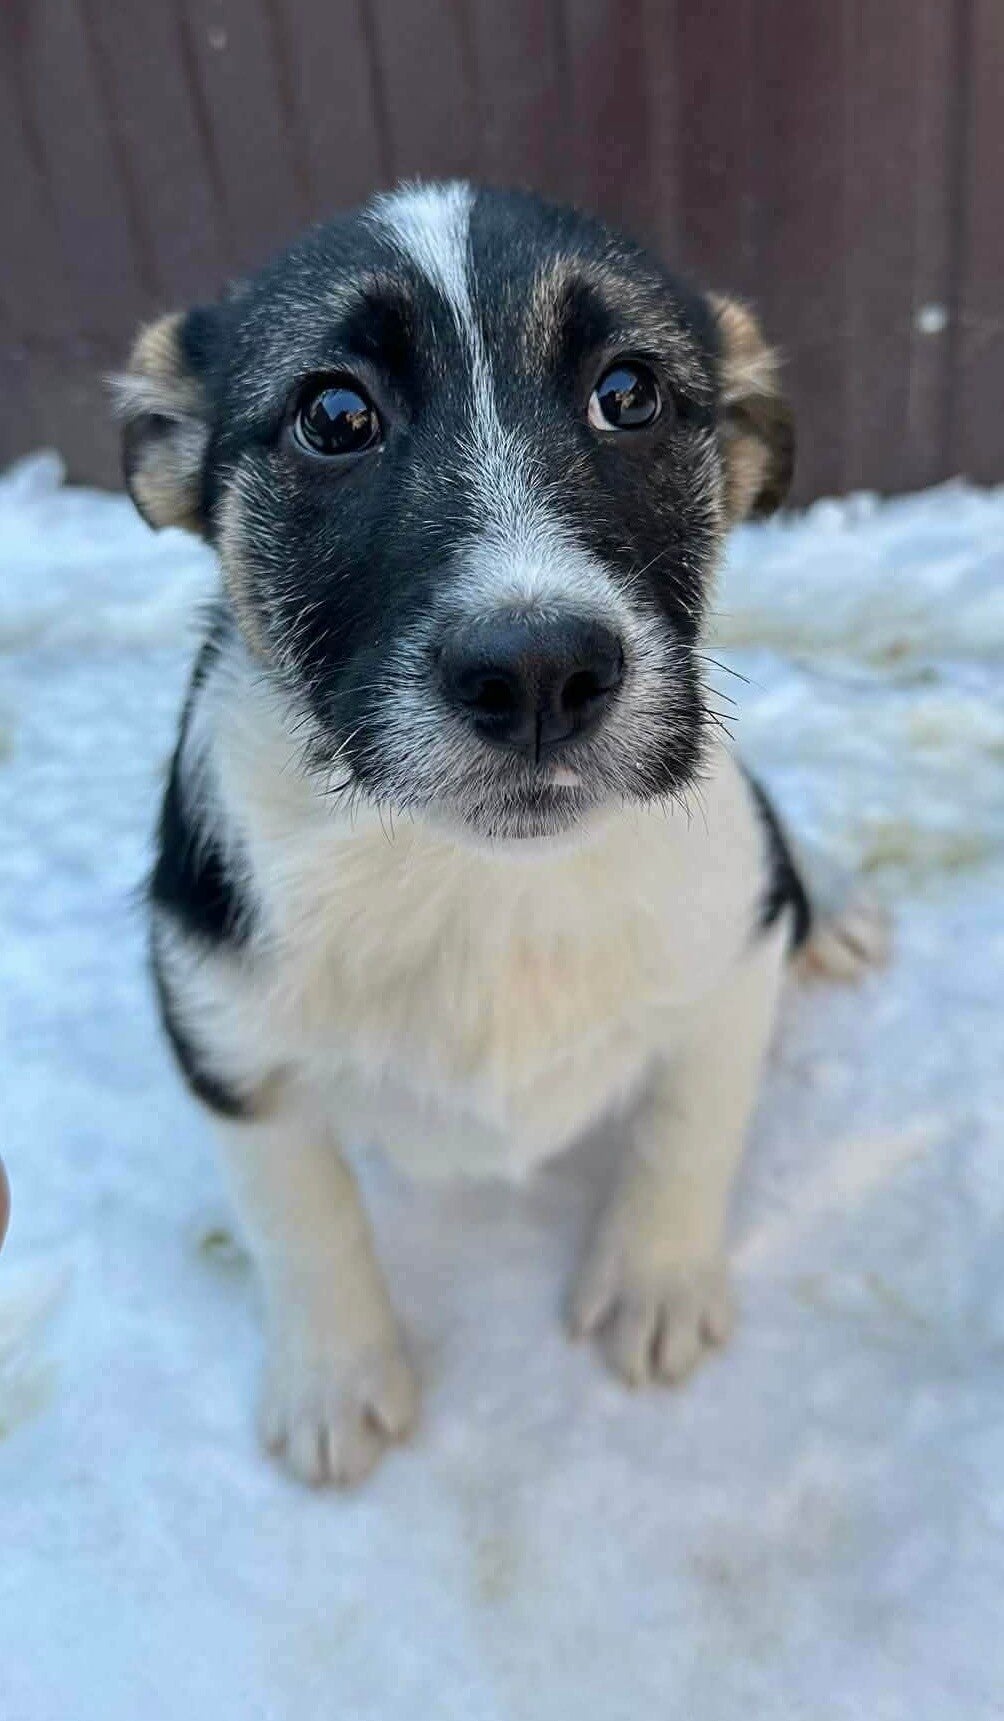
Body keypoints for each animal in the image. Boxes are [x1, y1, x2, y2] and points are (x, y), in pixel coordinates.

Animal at [116, 181, 887, 1487]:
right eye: (334, 415)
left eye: (628, 392)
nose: (536, 673)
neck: (475, 881)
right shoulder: (223, 1037)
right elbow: (300, 1217)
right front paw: (335, 1377)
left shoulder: (728, 966)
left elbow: (685, 1131)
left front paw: (652, 1280)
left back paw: (826, 899)